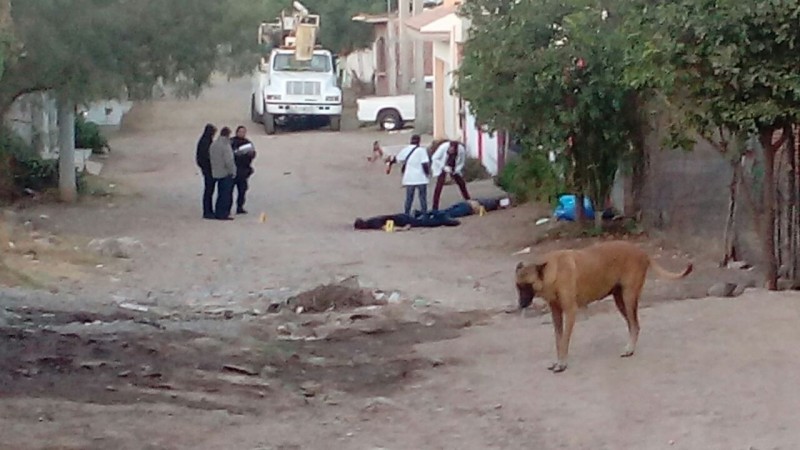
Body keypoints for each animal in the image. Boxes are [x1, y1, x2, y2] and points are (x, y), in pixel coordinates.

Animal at [516, 241, 692, 374]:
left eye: (528, 285)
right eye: (518, 286)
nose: (521, 305)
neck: (553, 271)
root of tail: (643, 253)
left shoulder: (570, 312)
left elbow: (565, 340)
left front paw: (562, 363)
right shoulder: (556, 314)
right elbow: (558, 340)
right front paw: (558, 361)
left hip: (629, 298)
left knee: (634, 324)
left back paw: (630, 349)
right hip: (620, 301)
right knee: (633, 325)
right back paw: (630, 347)